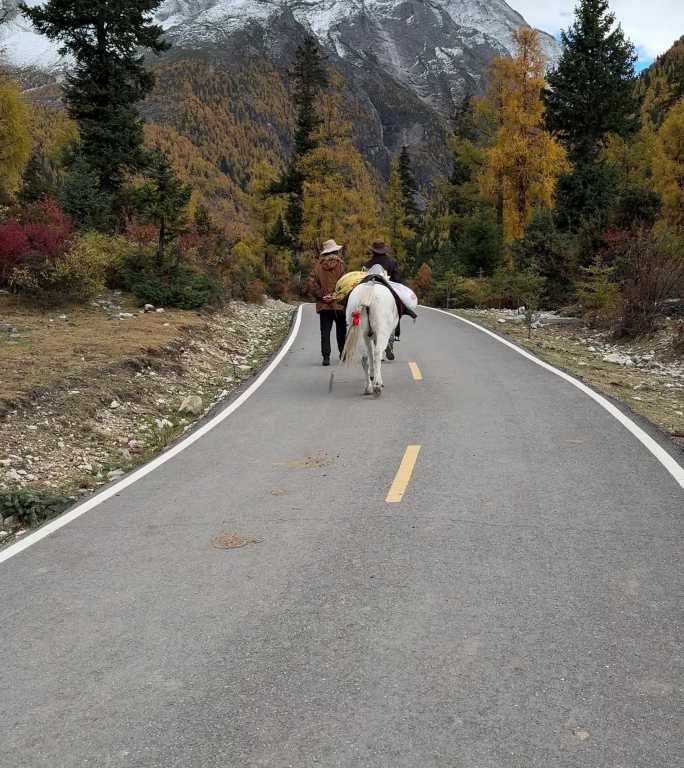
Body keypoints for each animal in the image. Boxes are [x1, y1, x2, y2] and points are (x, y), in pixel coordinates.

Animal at [340, 268, 398, 396]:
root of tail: (369, 292)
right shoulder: (378, 335)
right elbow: (378, 355)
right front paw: (378, 380)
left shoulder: (369, 336)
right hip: (381, 331)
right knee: (377, 353)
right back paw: (377, 386)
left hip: (360, 333)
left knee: (364, 357)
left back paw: (368, 387)